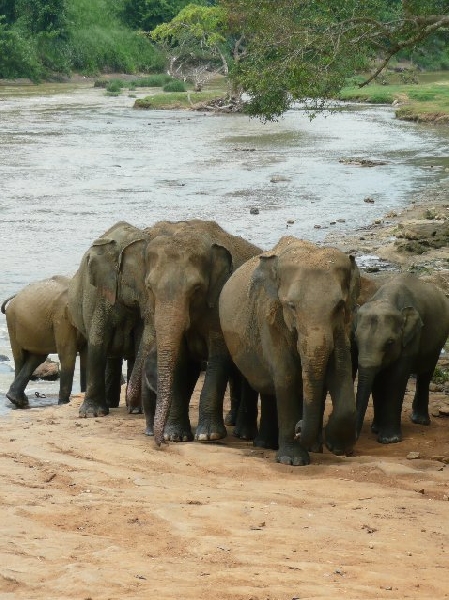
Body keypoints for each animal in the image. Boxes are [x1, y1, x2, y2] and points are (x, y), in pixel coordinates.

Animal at [0, 276, 86, 408]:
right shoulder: (61, 316)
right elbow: (68, 352)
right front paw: (63, 403)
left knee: (37, 357)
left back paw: (17, 399)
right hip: (12, 323)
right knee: (20, 357)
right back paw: (19, 401)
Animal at [130, 220, 260, 446]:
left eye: (196, 288)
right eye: (149, 287)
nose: (159, 443)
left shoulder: (219, 304)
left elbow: (219, 357)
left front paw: (209, 435)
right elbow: (180, 361)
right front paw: (175, 436)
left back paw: (243, 433)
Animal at [218, 237, 360, 466]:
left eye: (339, 306)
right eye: (291, 306)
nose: (298, 428)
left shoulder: (342, 327)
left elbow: (341, 372)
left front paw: (338, 447)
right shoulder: (269, 317)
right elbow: (287, 375)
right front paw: (292, 460)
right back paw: (269, 444)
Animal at [354, 272, 448, 440]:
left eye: (390, 342)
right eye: (355, 340)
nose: (354, 439)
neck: (387, 299)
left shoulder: (412, 337)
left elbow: (396, 379)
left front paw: (389, 439)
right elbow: (378, 379)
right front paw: (376, 430)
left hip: (438, 343)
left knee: (426, 374)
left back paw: (421, 421)